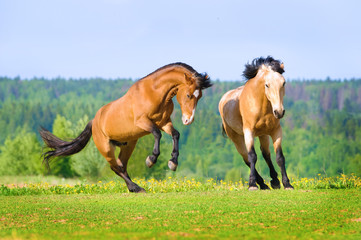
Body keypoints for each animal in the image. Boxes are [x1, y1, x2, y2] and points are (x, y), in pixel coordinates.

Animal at [40, 62, 211, 193]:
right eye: (189, 95)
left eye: (200, 96)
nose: (188, 120)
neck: (154, 93)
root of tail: (94, 121)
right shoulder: (143, 122)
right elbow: (157, 134)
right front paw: (151, 160)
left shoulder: (164, 122)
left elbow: (175, 134)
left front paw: (173, 162)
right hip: (106, 148)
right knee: (115, 167)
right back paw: (135, 187)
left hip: (128, 145)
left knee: (122, 165)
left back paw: (134, 187)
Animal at [219, 56, 292, 191]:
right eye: (267, 85)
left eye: (283, 83)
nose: (279, 112)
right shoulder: (249, 132)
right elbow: (252, 156)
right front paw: (252, 184)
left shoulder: (276, 131)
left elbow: (279, 157)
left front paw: (287, 184)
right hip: (236, 138)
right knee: (246, 158)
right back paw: (261, 183)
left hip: (263, 134)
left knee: (266, 154)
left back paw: (274, 181)